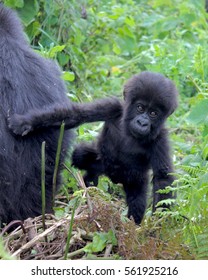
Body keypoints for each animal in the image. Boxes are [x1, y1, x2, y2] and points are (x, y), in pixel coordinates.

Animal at [8, 71, 178, 223]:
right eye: (140, 108)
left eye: (153, 113)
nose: (142, 122)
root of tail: (112, 177)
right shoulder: (112, 107)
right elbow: (75, 115)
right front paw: (26, 122)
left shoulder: (160, 139)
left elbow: (163, 178)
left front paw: (160, 223)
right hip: (101, 161)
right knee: (80, 155)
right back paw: (89, 181)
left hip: (135, 179)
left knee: (137, 201)